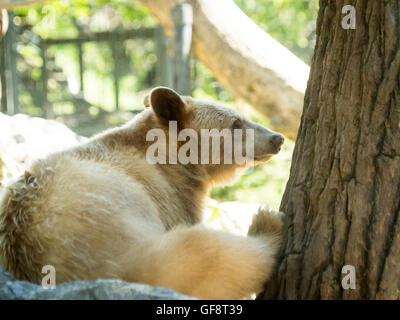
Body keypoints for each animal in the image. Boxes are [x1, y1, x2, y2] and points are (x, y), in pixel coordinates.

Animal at [0, 86, 284, 298]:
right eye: (236, 122)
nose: (277, 138)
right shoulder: (170, 195)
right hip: (124, 251)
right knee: (205, 250)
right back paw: (266, 225)